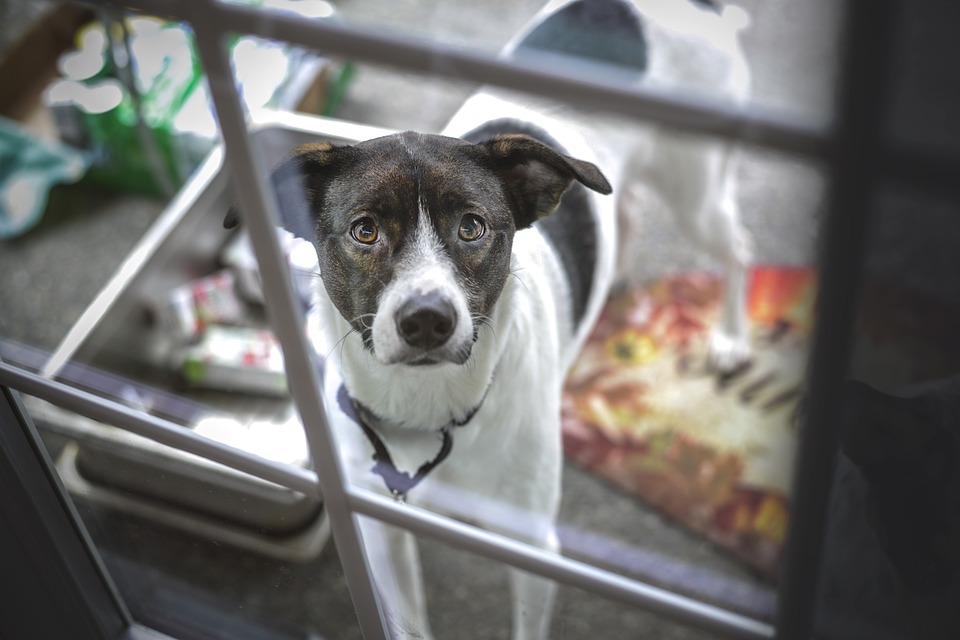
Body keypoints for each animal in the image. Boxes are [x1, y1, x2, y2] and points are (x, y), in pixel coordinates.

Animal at [223, 0, 752, 636]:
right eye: (364, 230)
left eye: (472, 226)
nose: (427, 321)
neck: (428, 406)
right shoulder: (380, 530)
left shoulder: (532, 546)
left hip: (697, 191)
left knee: (736, 247)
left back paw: (730, 338)